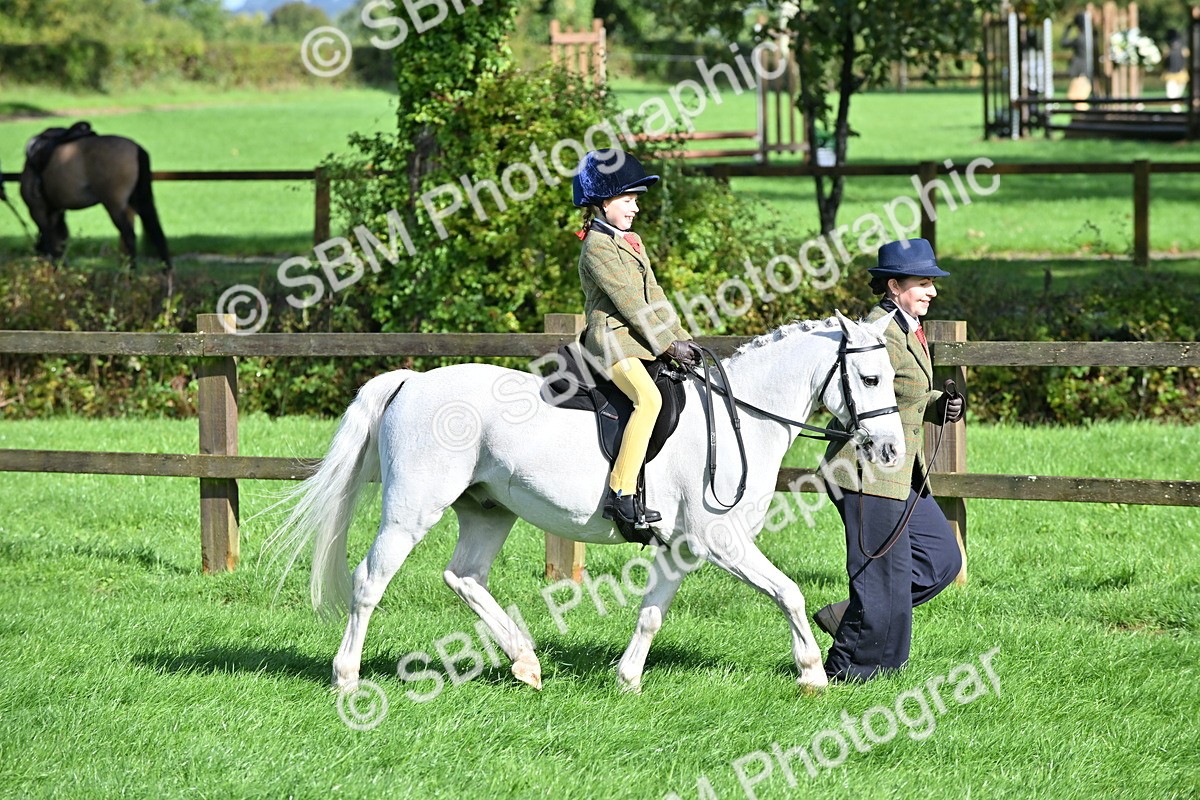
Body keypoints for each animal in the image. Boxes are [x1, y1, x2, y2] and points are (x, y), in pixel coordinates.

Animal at [19, 131, 173, 284]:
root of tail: (137, 148)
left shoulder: (38, 211)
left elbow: (49, 242)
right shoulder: (55, 213)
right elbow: (59, 241)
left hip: (114, 205)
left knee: (129, 236)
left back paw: (130, 276)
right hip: (140, 201)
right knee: (156, 233)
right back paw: (166, 276)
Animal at [267, 310, 904, 694]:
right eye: (871, 379)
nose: (892, 450)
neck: (738, 416)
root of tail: (412, 381)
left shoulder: (682, 548)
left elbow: (651, 612)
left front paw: (627, 679)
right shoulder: (722, 542)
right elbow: (790, 593)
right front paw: (813, 675)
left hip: (488, 510)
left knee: (464, 576)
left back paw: (525, 662)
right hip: (411, 511)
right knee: (370, 581)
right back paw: (347, 678)